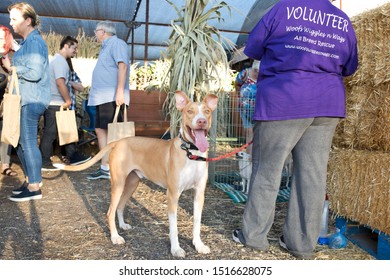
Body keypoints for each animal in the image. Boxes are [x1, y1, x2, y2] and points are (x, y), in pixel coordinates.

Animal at [54, 91, 218, 258]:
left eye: (207, 111)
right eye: (190, 111)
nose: (202, 121)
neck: (191, 153)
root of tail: (118, 142)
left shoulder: (199, 194)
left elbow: (197, 222)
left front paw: (198, 245)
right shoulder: (172, 194)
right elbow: (174, 227)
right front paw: (176, 249)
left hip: (132, 183)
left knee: (120, 206)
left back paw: (123, 225)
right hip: (118, 184)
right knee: (110, 212)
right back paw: (115, 237)